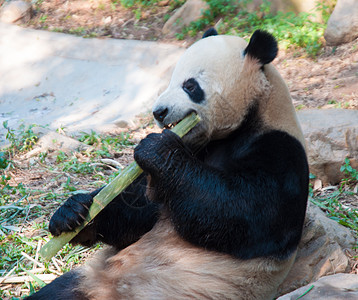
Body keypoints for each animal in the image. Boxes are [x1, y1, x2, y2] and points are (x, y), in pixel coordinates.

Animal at [28, 28, 310, 300]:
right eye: (172, 80)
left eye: (190, 85)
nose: (158, 112)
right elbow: (137, 213)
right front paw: (72, 213)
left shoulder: (280, 151)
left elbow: (241, 212)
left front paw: (156, 148)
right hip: (85, 281)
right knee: (56, 293)